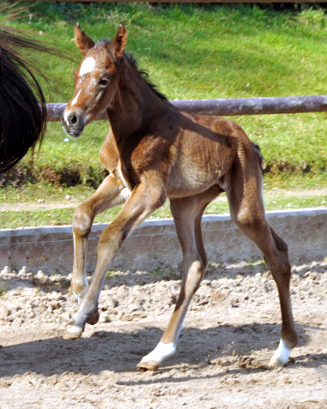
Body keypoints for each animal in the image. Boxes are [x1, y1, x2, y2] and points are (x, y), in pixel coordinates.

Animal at [62, 24, 300, 370]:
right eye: (77, 75)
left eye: (104, 79)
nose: (71, 118)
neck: (137, 127)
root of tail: (247, 141)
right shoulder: (119, 182)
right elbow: (82, 215)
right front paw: (82, 299)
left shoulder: (151, 191)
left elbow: (110, 235)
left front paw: (81, 317)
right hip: (186, 204)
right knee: (195, 263)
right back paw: (159, 352)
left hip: (243, 208)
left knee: (277, 256)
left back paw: (283, 349)